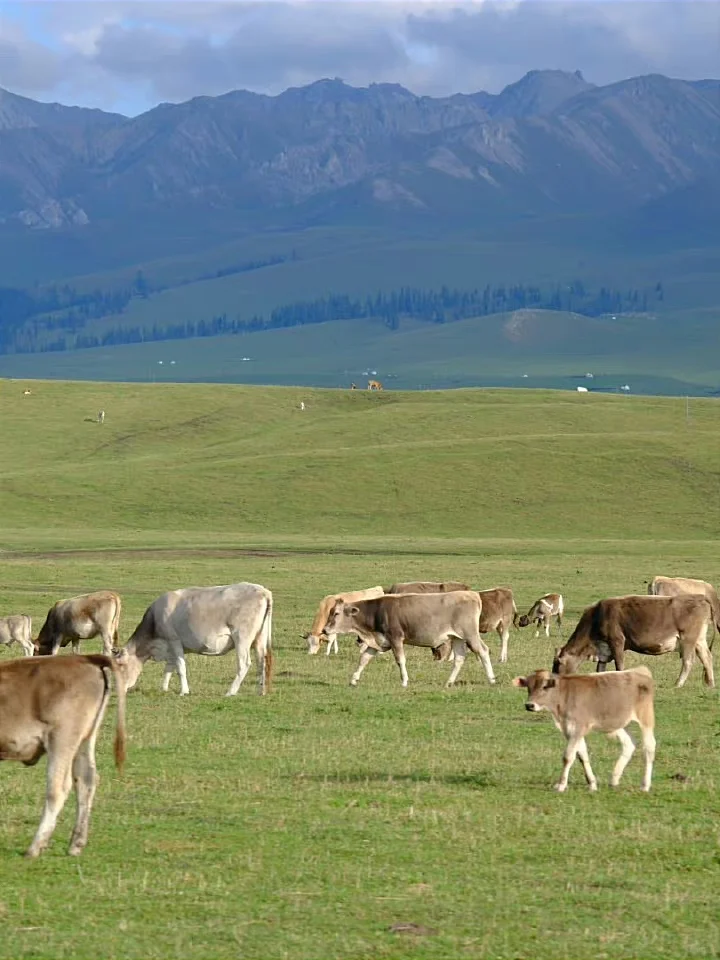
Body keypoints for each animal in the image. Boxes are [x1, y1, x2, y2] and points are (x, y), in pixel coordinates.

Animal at [0, 656, 126, 860]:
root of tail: (84, 658)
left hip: (61, 737)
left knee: (58, 788)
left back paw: (35, 847)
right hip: (84, 739)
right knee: (86, 781)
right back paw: (76, 844)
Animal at [116, 580, 274, 692]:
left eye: (121, 665)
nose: (119, 689)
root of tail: (263, 591)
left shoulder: (174, 640)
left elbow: (180, 667)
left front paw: (184, 691)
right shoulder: (170, 647)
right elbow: (169, 667)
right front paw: (164, 689)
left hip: (241, 637)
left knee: (244, 664)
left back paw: (230, 692)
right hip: (259, 638)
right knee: (262, 661)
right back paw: (260, 691)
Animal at [320, 592, 496, 688]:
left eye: (336, 613)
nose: (325, 630)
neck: (377, 611)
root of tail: (472, 594)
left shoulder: (395, 638)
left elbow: (400, 660)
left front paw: (404, 681)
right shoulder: (378, 640)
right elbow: (364, 659)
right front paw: (354, 679)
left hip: (470, 634)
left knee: (483, 651)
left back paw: (492, 679)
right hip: (457, 638)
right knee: (459, 659)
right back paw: (449, 682)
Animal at [512, 668, 660, 796]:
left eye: (544, 686)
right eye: (528, 687)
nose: (529, 705)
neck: (563, 696)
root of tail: (639, 671)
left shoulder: (578, 727)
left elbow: (568, 756)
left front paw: (561, 785)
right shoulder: (569, 729)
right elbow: (582, 755)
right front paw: (592, 784)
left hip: (646, 718)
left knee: (649, 748)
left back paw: (645, 785)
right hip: (619, 723)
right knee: (629, 744)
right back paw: (614, 779)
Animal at [552, 596, 716, 688]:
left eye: (558, 663)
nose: (553, 682)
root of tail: (701, 599)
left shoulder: (617, 641)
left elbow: (619, 665)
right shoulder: (604, 649)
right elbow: (601, 668)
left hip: (688, 639)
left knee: (688, 661)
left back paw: (678, 683)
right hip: (699, 640)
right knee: (707, 657)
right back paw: (710, 683)